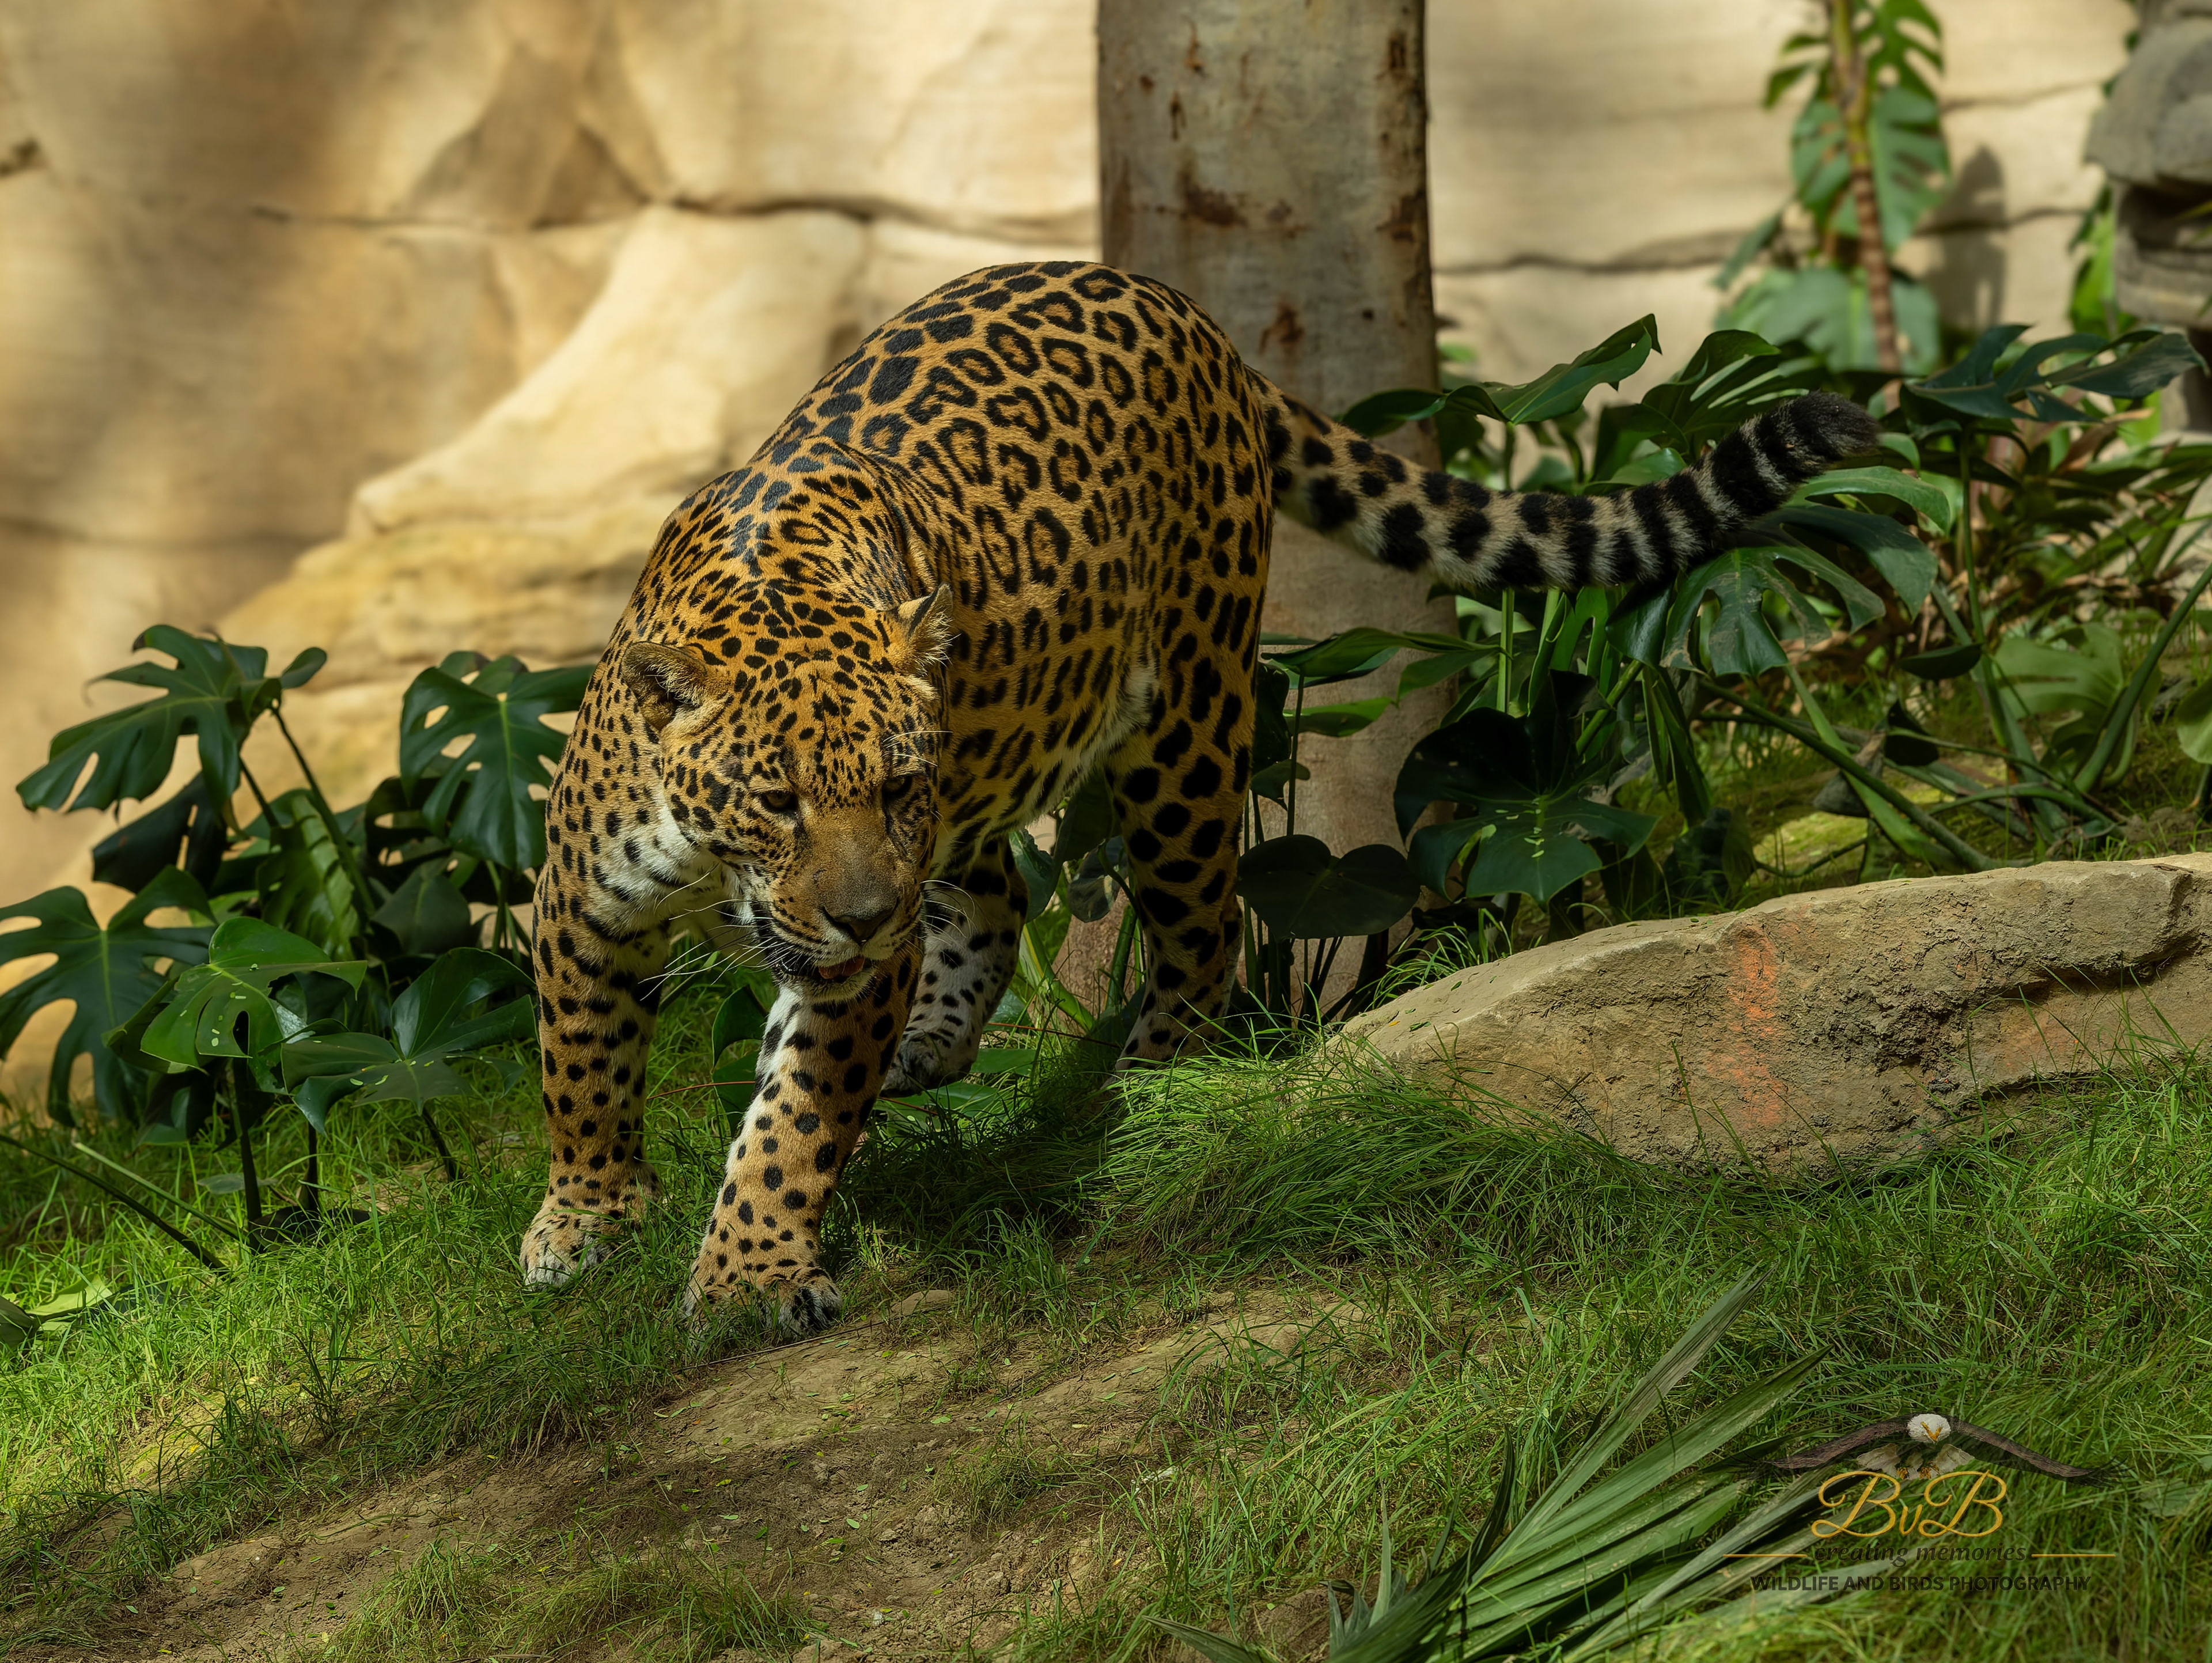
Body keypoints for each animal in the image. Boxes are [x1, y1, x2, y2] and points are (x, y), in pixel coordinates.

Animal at [519, 259, 1879, 1335]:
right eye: (777, 798)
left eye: (893, 787)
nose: (860, 917)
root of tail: (1166, 296)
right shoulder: (580, 902)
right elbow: (580, 1072)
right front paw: (585, 1222)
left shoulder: (868, 917)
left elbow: (794, 1116)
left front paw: (747, 1272)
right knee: (994, 885)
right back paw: (936, 1040)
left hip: (1188, 724)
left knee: (1199, 924)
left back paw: (1156, 1072)